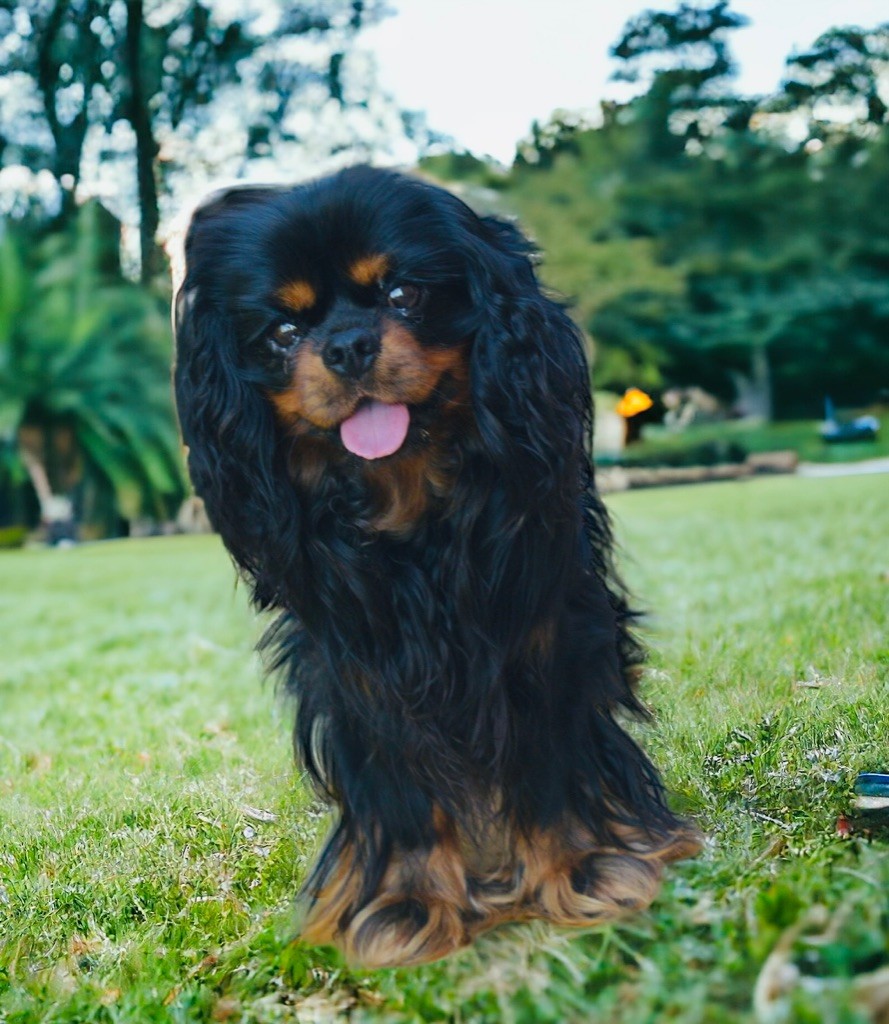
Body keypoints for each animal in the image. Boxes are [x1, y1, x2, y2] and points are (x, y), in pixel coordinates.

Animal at [174, 167, 700, 966]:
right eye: (284, 333)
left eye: (403, 295)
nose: (347, 346)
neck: (409, 503)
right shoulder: (360, 663)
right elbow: (402, 785)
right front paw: (408, 904)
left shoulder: (541, 631)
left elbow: (548, 757)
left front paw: (580, 866)